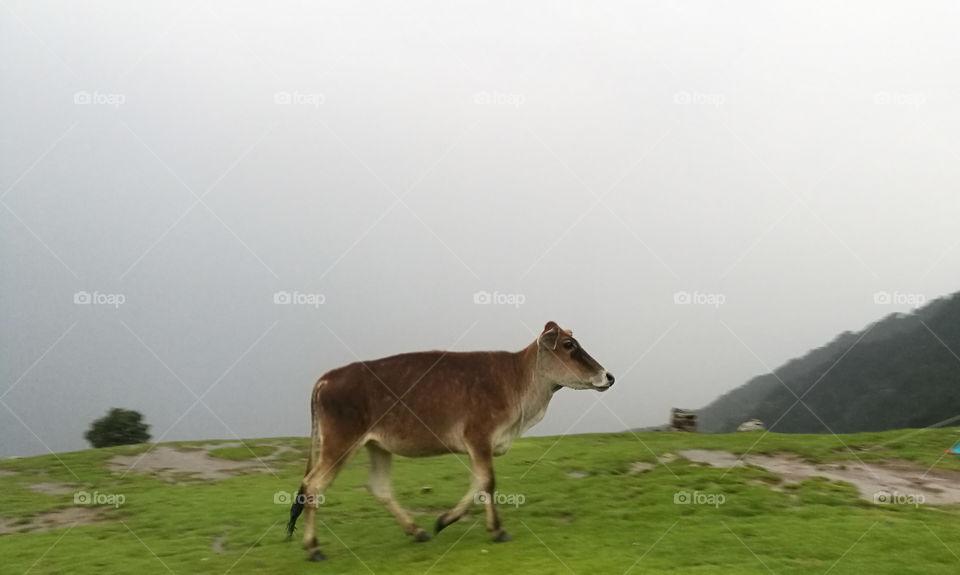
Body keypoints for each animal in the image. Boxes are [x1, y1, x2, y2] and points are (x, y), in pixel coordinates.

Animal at [286, 322, 616, 560]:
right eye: (569, 346)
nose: (608, 376)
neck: (518, 382)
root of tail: (327, 378)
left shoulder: (476, 445)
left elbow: (477, 484)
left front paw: (444, 520)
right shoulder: (479, 436)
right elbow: (488, 482)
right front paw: (498, 530)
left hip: (376, 445)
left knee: (378, 487)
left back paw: (416, 530)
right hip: (340, 443)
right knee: (312, 486)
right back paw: (313, 547)